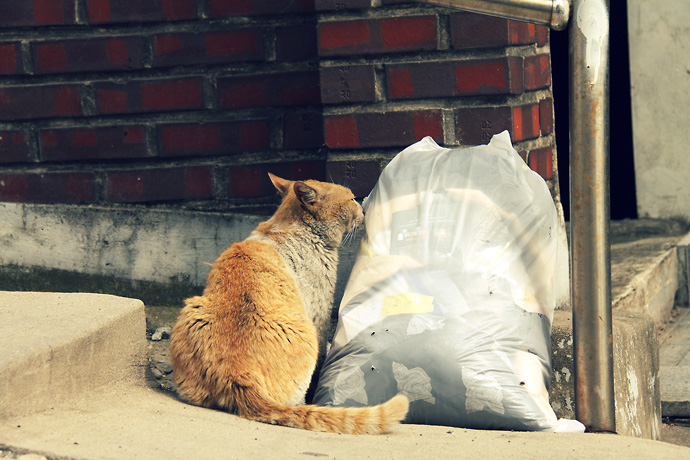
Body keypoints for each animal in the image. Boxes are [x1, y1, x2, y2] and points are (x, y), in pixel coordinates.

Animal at [171, 174, 408, 434]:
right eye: (352, 199)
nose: (364, 209)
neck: (287, 228)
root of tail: (238, 374)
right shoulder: (320, 314)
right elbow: (323, 355)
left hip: (191, 310)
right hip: (308, 333)